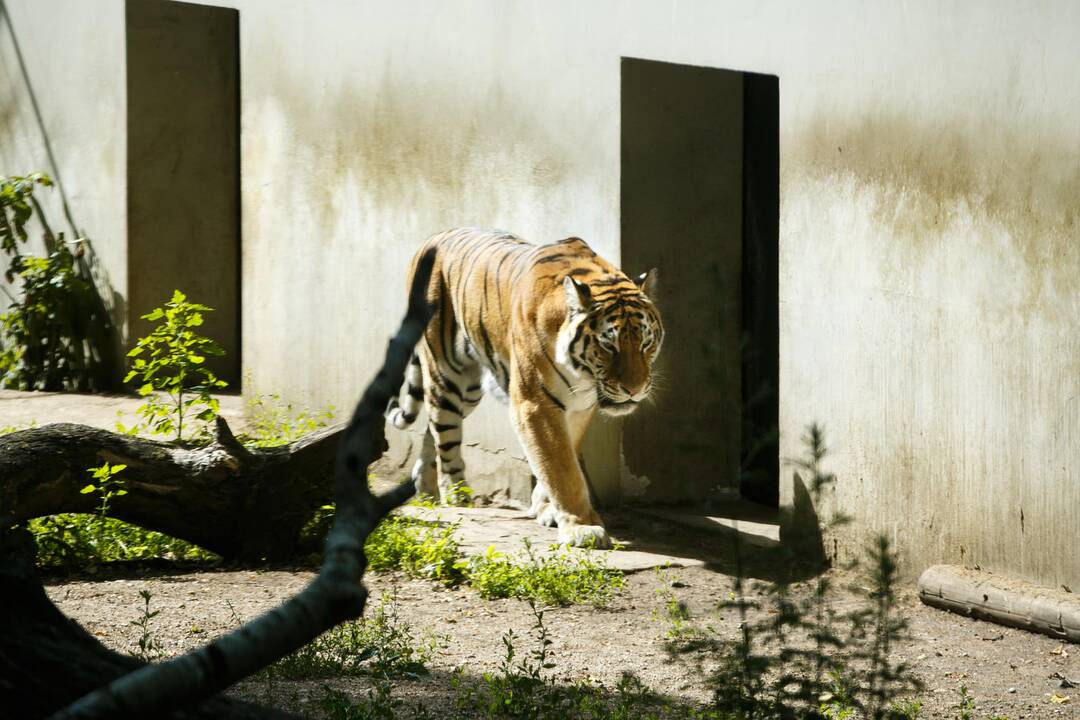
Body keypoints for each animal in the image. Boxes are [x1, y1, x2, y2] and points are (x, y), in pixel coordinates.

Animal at [384, 227, 660, 548]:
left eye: (646, 343)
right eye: (608, 346)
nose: (633, 389)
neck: (583, 376)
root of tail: (434, 236)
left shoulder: (579, 407)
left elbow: (555, 460)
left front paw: (547, 508)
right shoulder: (535, 404)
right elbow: (561, 467)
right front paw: (581, 527)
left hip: (469, 392)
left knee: (433, 426)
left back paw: (425, 489)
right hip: (449, 374)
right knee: (445, 435)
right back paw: (455, 493)